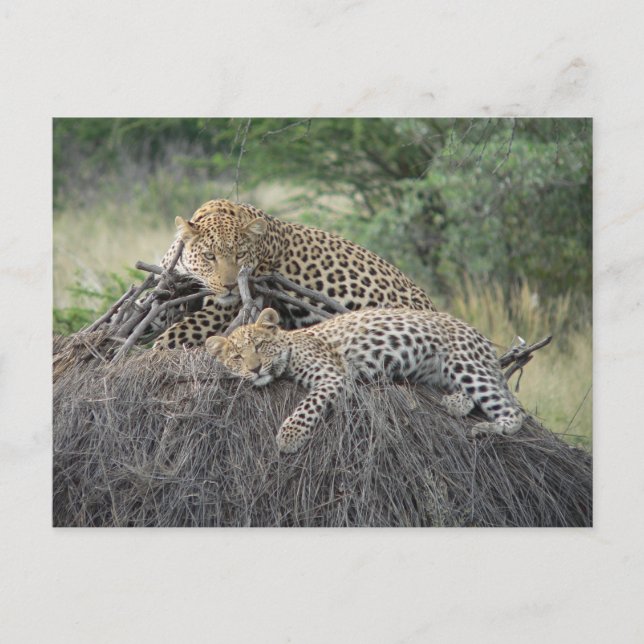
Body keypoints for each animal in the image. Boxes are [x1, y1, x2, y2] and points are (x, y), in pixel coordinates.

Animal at [206, 307, 525, 453]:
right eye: (237, 357)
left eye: (259, 346)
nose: (255, 368)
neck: (291, 344)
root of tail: (479, 335)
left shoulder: (333, 376)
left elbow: (307, 406)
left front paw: (289, 437)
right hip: (447, 371)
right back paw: (457, 402)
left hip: (465, 363)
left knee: (515, 412)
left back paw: (486, 428)